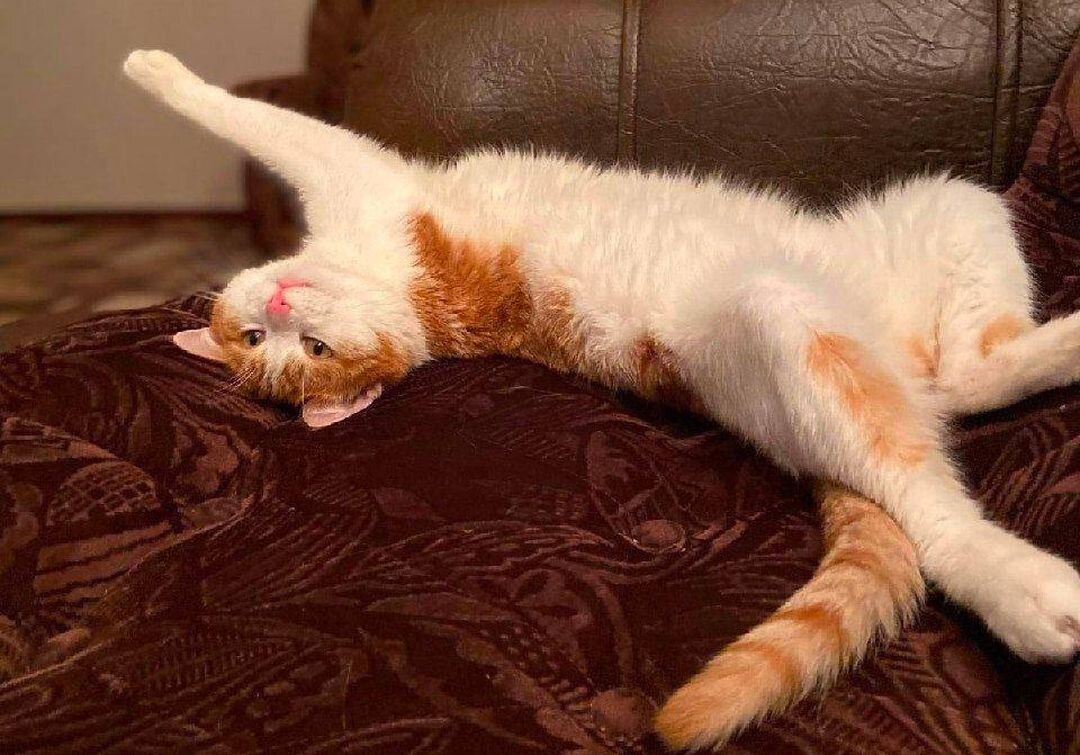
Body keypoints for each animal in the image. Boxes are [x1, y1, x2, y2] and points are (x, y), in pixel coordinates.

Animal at [124, 50, 1080, 751]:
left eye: (284, 346)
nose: (283, 310)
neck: (407, 302)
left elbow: (267, 127)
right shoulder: (361, 174)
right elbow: (258, 119)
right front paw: (150, 64)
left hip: (949, 204)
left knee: (969, 371)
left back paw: (1058, 343)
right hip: (786, 323)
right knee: (931, 492)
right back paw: (1024, 586)